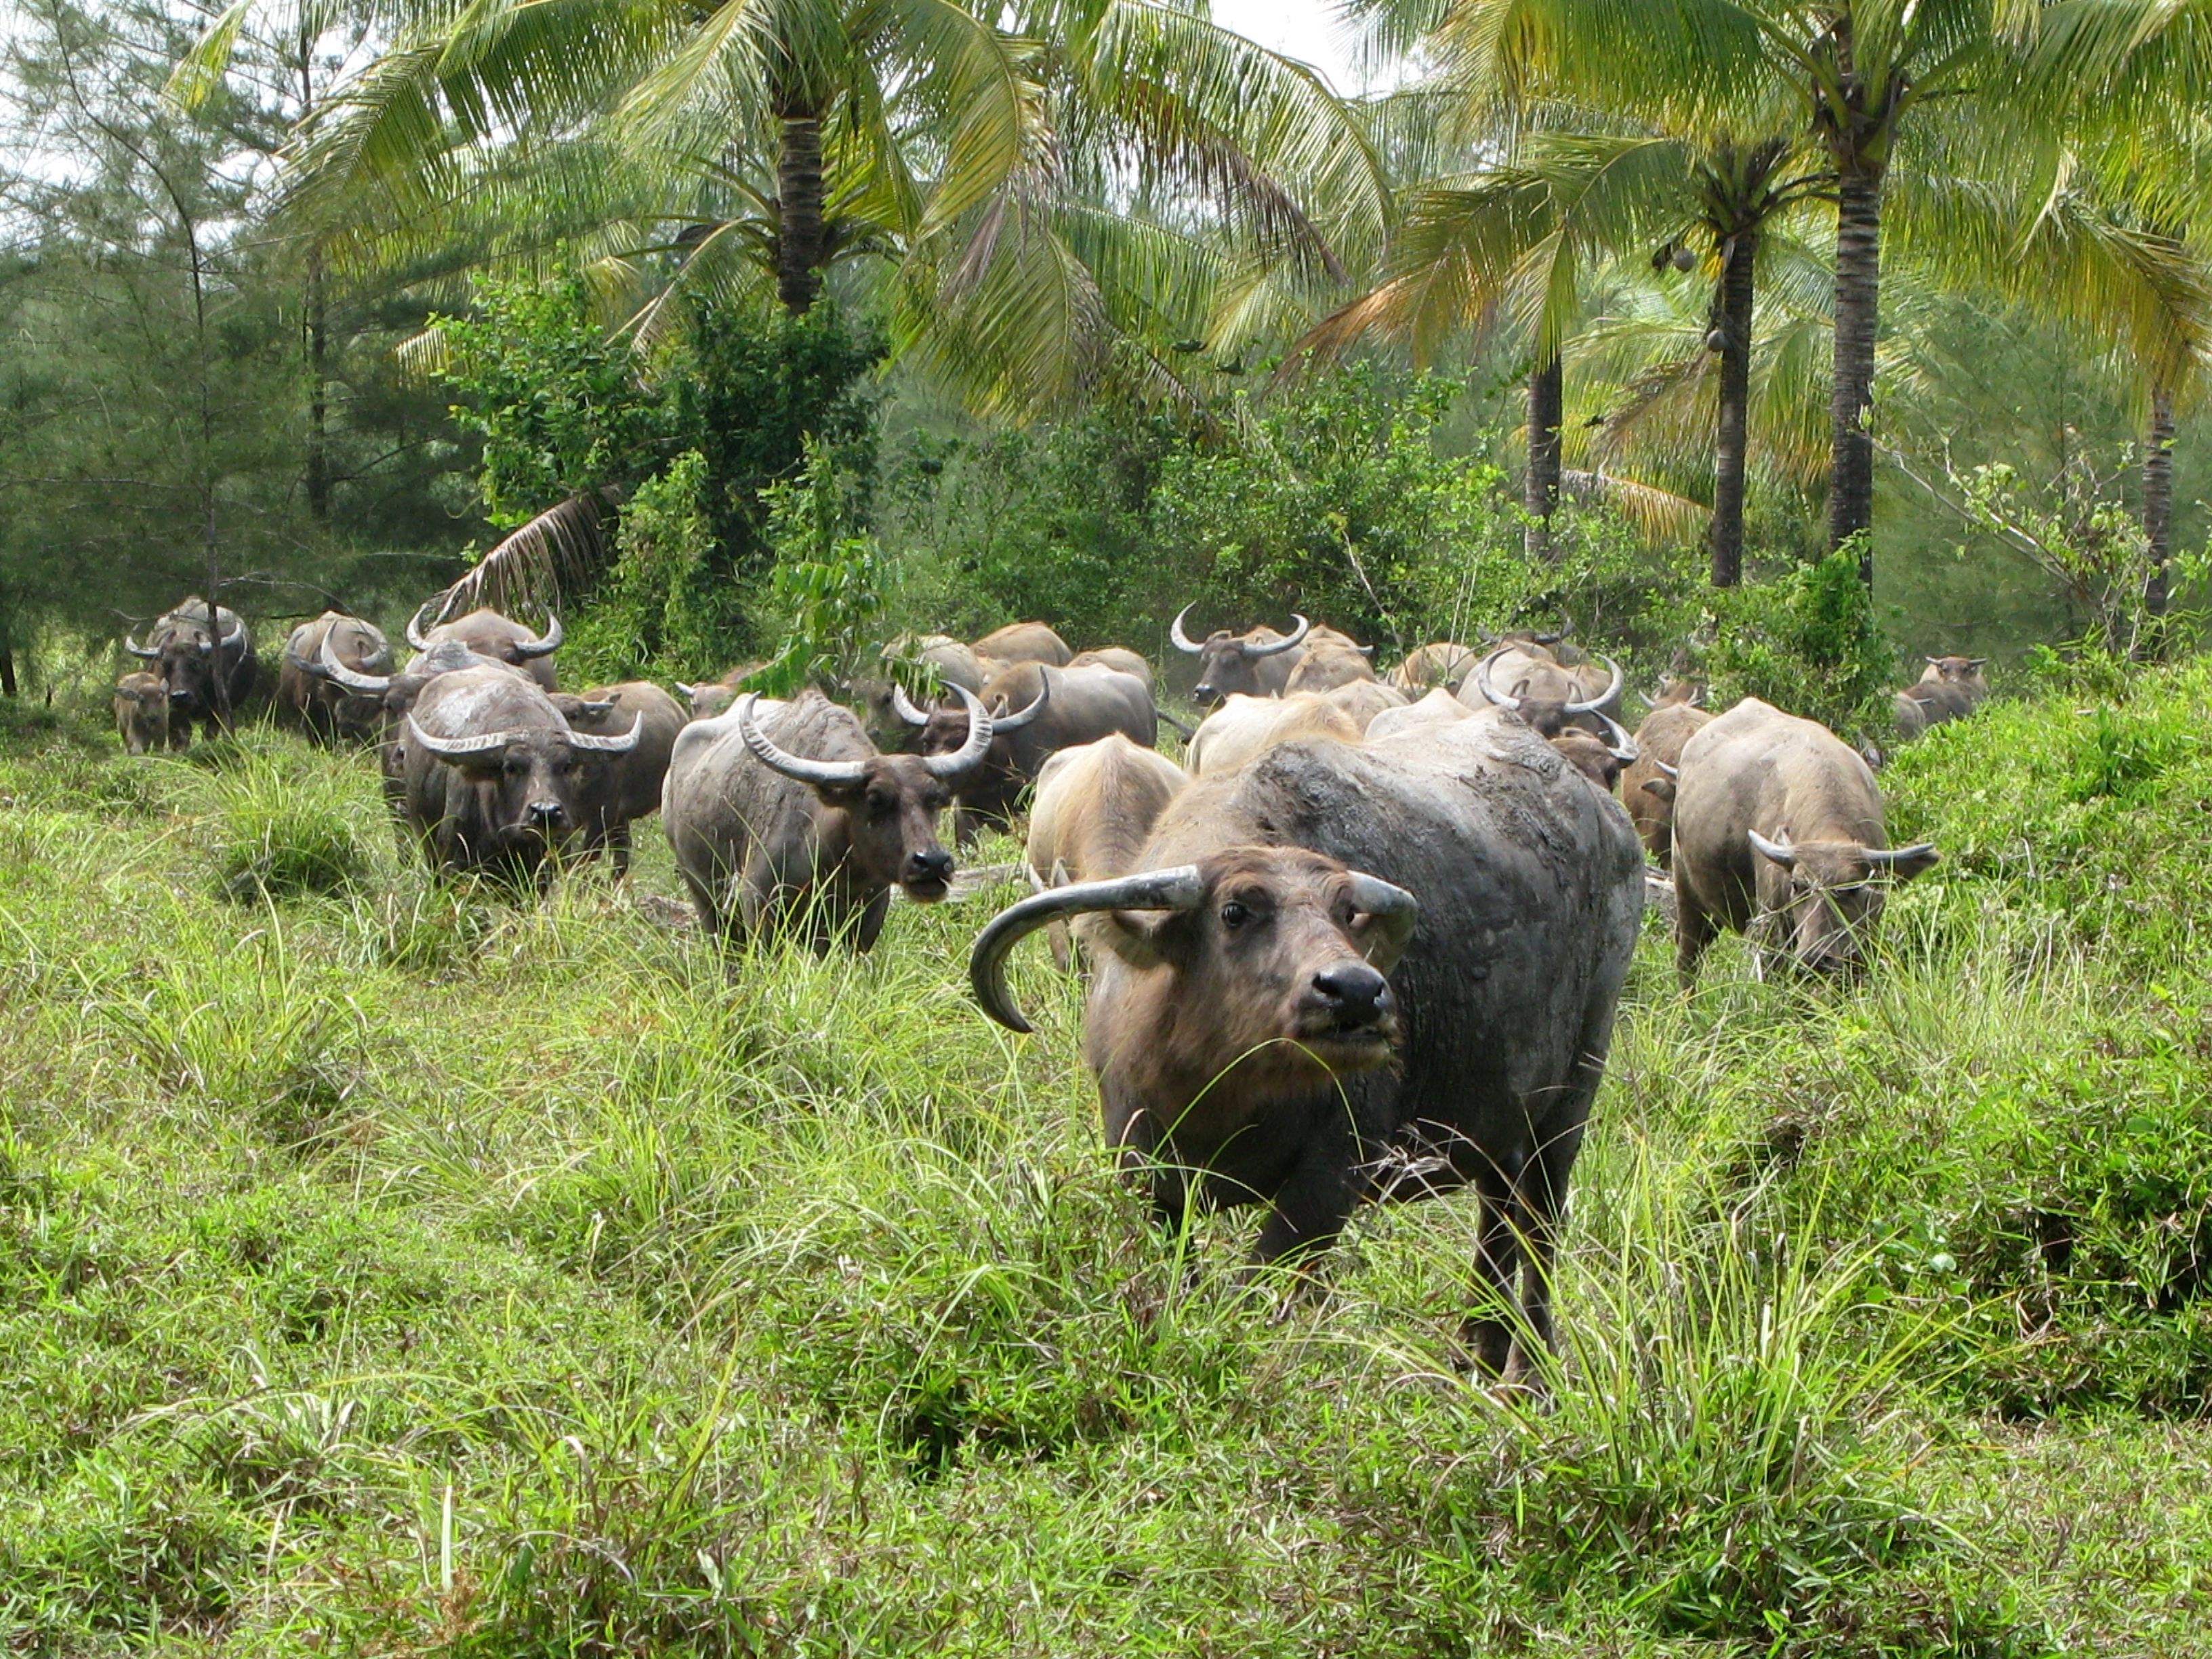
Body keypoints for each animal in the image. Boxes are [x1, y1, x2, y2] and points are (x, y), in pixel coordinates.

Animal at [659, 685, 1000, 946]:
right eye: (874, 799)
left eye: (935, 798)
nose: (932, 863)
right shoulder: (760, 908)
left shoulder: (864, 922)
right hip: (705, 899)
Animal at [968, 712, 1645, 1380]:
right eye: (1236, 910)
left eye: (1347, 913)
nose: (1356, 992)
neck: (1220, 1089)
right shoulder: (1142, 1164)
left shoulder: (1332, 1177)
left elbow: (1256, 1291)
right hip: (1500, 1118)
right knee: (1498, 1213)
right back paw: (1476, 1349)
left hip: (1572, 1095)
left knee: (1540, 1223)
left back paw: (1525, 1374)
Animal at [1672, 694, 1938, 982]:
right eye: (1797, 885)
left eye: (1852, 889)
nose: (1816, 958)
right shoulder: (1769, 932)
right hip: (1688, 893)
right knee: (1688, 957)